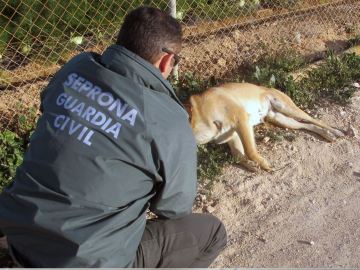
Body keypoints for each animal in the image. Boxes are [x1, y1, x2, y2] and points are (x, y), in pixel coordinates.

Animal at [187, 82, 344, 171]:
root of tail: (266, 87)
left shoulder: (241, 120)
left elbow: (250, 151)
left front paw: (263, 163)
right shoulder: (231, 136)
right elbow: (238, 156)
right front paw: (251, 165)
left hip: (286, 107)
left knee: (315, 120)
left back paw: (335, 131)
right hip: (281, 119)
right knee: (306, 126)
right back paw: (326, 134)